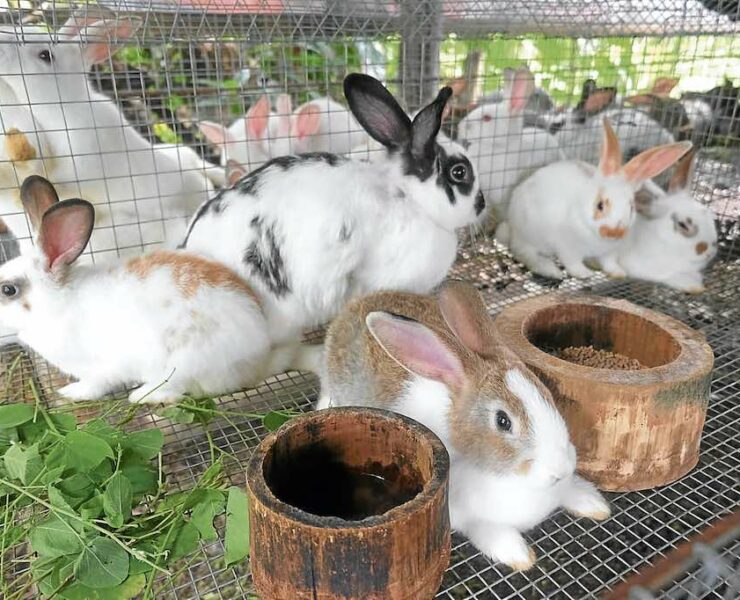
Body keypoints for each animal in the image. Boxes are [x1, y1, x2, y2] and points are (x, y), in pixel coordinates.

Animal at [0, 175, 318, 404]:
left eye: (8, 290)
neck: (56, 303)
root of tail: (261, 360)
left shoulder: (102, 369)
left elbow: (95, 386)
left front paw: (71, 393)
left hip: (183, 365)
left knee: (176, 390)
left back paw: (140, 396)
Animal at [317, 280, 610, 571]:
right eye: (503, 421)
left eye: (547, 393)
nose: (561, 470)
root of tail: (358, 302)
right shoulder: (466, 517)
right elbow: (489, 532)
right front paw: (519, 556)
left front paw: (593, 503)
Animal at [501, 118, 692, 280]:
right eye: (600, 205)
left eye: (631, 208)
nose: (614, 232)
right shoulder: (567, 247)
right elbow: (572, 262)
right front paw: (584, 274)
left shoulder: (610, 251)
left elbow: (609, 262)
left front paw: (618, 272)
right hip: (529, 235)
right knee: (525, 252)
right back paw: (551, 270)